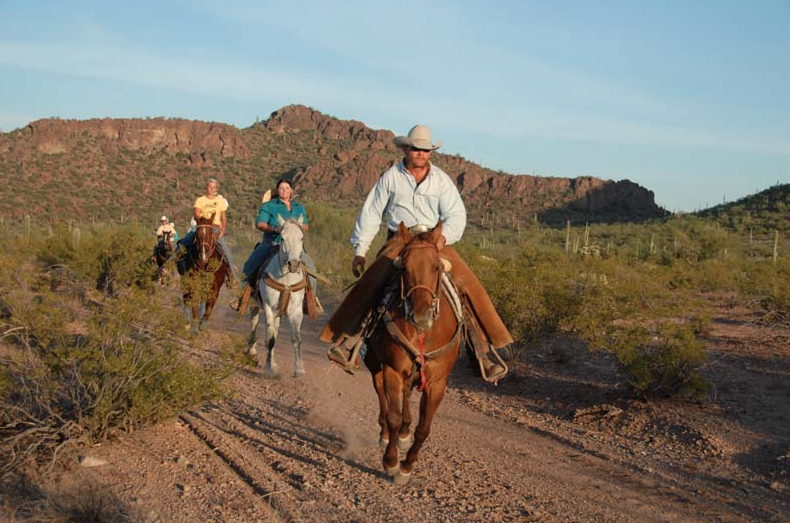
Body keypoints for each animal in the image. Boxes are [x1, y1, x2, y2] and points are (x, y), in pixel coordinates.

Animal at [249, 215, 308, 378]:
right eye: (282, 237)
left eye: (301, 238)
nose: (293, 264)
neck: (286, 281)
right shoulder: (268, 307)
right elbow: (270, 339)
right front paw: (269, 368)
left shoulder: (296, 311)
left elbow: (296, 339)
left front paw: (299, 370)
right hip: (256, 304)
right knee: (254, 322)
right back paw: (251, 351)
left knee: (274, 330)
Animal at [366, 222, 464, 488]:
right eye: (404, 267)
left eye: (436, 266)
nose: (421, 316)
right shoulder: (392, 369)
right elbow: (393, 416)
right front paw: (391, 462)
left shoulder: (437, 383)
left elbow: (423, 429)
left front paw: (407, 466)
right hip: (376, 363)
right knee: (381, 395)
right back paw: (386, 436)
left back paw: (403, 434)